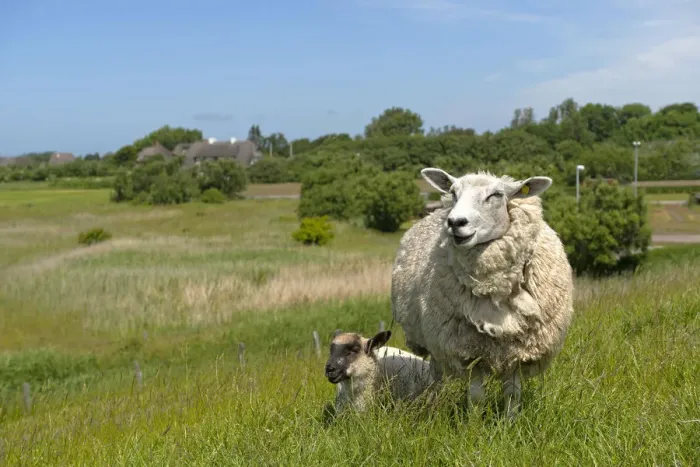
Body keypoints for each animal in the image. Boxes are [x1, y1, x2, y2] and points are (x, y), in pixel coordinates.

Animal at [391, 167, 574, 417]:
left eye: (496, 195)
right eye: (453, 192)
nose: (455, 222)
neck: (495, 287)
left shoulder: (519, 350)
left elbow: (512, 394)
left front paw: (510, 422)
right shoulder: (468, 349)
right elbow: (477, 397)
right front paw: (474, 423)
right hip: (433, 340)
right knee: (436, 375)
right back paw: (433, 404)